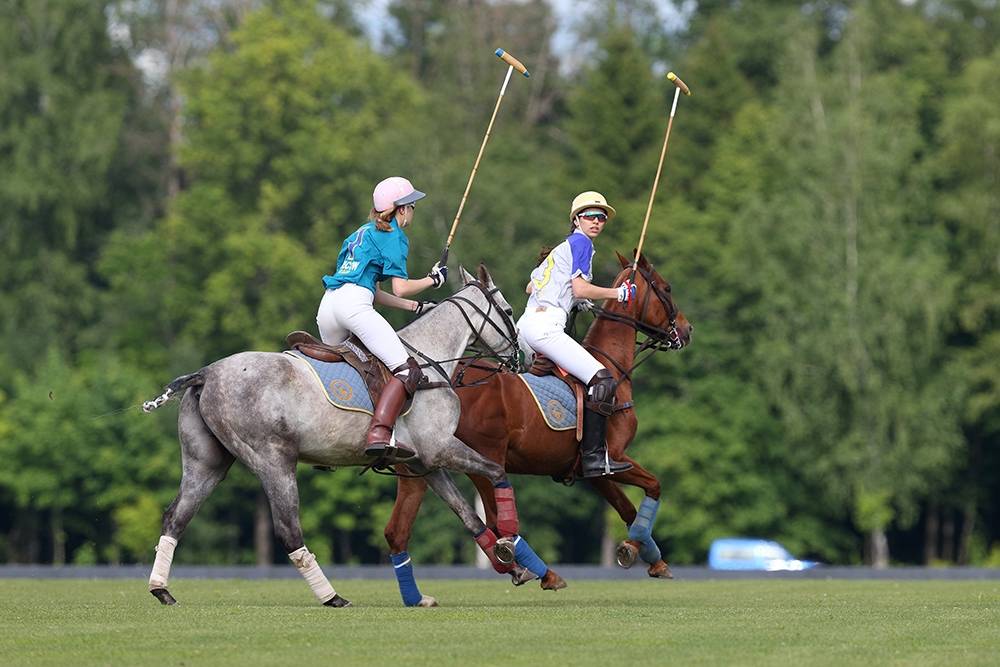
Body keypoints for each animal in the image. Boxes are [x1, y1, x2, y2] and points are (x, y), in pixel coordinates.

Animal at [142, 264, 552, 604]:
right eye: (509, 312)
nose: (528, 358)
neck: (431, 360)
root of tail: (205, 373)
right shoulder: (439, 448)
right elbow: (496, 473)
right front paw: (509, 543)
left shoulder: (423, 462)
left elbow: (469, 516)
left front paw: (513, 566)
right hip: (274, 461)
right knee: (288, 530)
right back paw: (332, 597)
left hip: (207, 463)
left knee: (176, 517)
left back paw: (161, 589)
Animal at [384, 253, 696, 588]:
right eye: (667, 287)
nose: (687, 329)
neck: (611, 365)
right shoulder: (614, 457)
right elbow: (654, 486)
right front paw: (636, 548)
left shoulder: (592, 471)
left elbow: (627, 508)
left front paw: (653, 559)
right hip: (481, 458)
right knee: (496, 521)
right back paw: (542, 572)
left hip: (419, 464)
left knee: (398, 531)